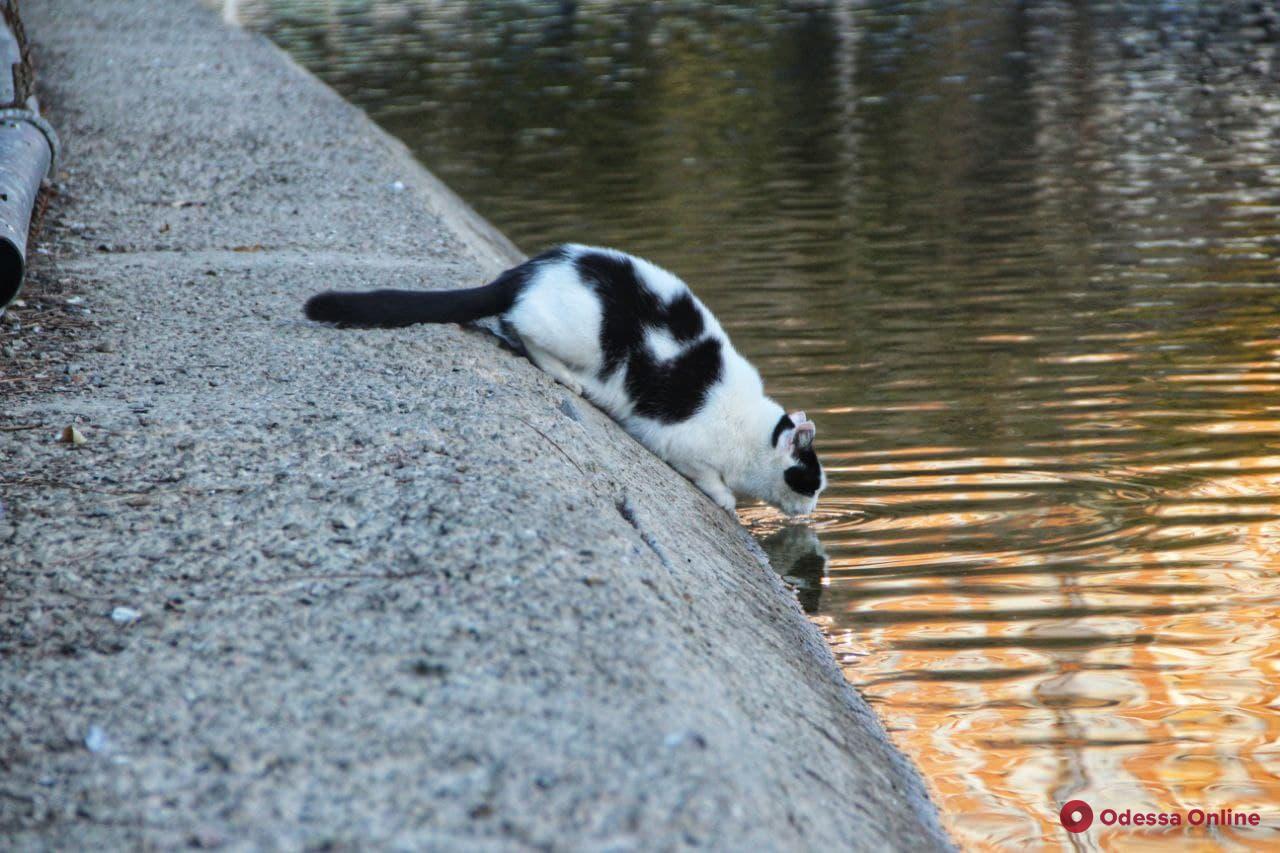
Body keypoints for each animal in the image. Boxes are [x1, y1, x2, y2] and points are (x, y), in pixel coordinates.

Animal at [311, 242, 829, 514]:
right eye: (810, 485)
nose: (812, 514)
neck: (750, 431)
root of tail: (525, 271)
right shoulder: (682, 442)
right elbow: (709, 476)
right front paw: (725, 499)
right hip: (576, 334)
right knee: (520, 328)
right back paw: (566, 378)